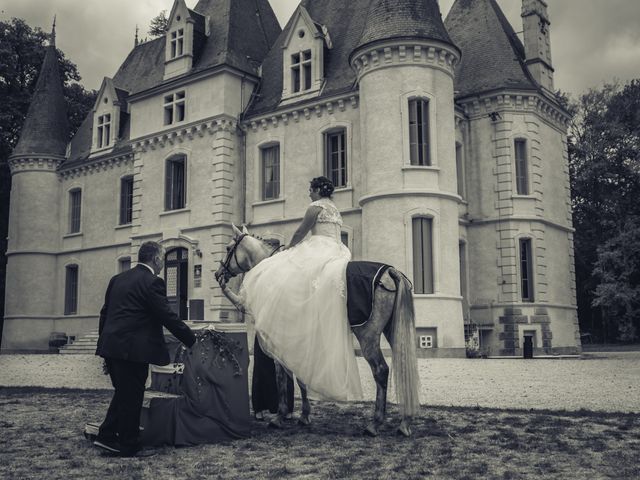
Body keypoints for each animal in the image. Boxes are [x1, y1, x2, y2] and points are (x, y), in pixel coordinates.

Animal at [215, 223, 420, 436]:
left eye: (228, 248)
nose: (218, 273)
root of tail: (389, 271)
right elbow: (301, 378)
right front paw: (304, 416)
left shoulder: (279, 340)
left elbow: (282, 378)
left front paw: (280, 416)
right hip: (392, 331)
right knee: (403, 366)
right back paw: (404, 423)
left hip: (367, 336)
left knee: (380, 370)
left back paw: (375, 423)